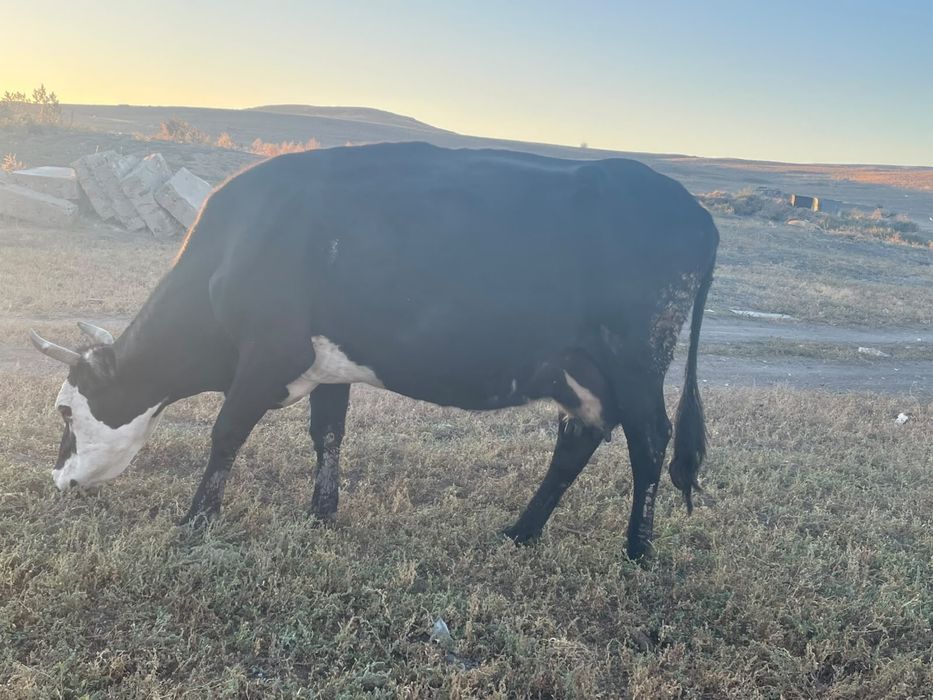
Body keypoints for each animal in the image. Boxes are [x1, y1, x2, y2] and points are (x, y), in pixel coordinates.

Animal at [30, 142, 718, 559]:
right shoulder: (328, 364)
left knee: (649, 440)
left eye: (66, 411)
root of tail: (691, 207)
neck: (232, 251)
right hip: (578, 369)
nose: (58, 479)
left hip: (636, 358)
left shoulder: (266, 353)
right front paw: (321, 515)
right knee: (579, 437)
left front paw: (195, 520)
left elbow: (225, 434)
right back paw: (520, 532)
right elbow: (328, 434)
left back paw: (636, 550)